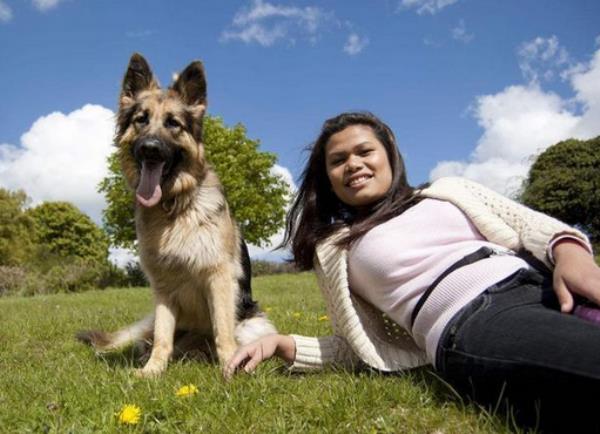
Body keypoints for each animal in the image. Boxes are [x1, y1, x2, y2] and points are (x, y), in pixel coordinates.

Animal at [77, 53, 276, 376]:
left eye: (173, 124)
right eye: (141, 119)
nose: (150, 149)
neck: (174, 208)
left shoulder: (219, 278)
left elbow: (223, 331)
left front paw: (229, 368)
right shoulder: (162, 288)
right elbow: (162, 337)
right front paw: (153, 371)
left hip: (255, 324)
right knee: (154, 341)